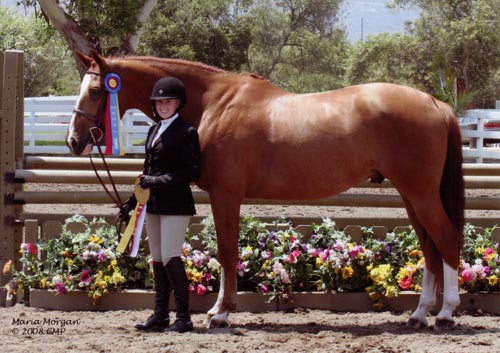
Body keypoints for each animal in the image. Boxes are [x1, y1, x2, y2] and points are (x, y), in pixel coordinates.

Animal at [66, 50, 464, 330]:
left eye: (98, 90)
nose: (74, 141)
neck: (215, 103)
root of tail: (436, 103)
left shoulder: (226, 195)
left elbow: (227, 252)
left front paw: (221, 313)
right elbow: (226, 253)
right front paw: (218, 309)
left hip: (420, 194)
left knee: (446, 240)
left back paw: (445, 313)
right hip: (411, 196)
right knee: (430, 248)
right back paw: (419, 314)